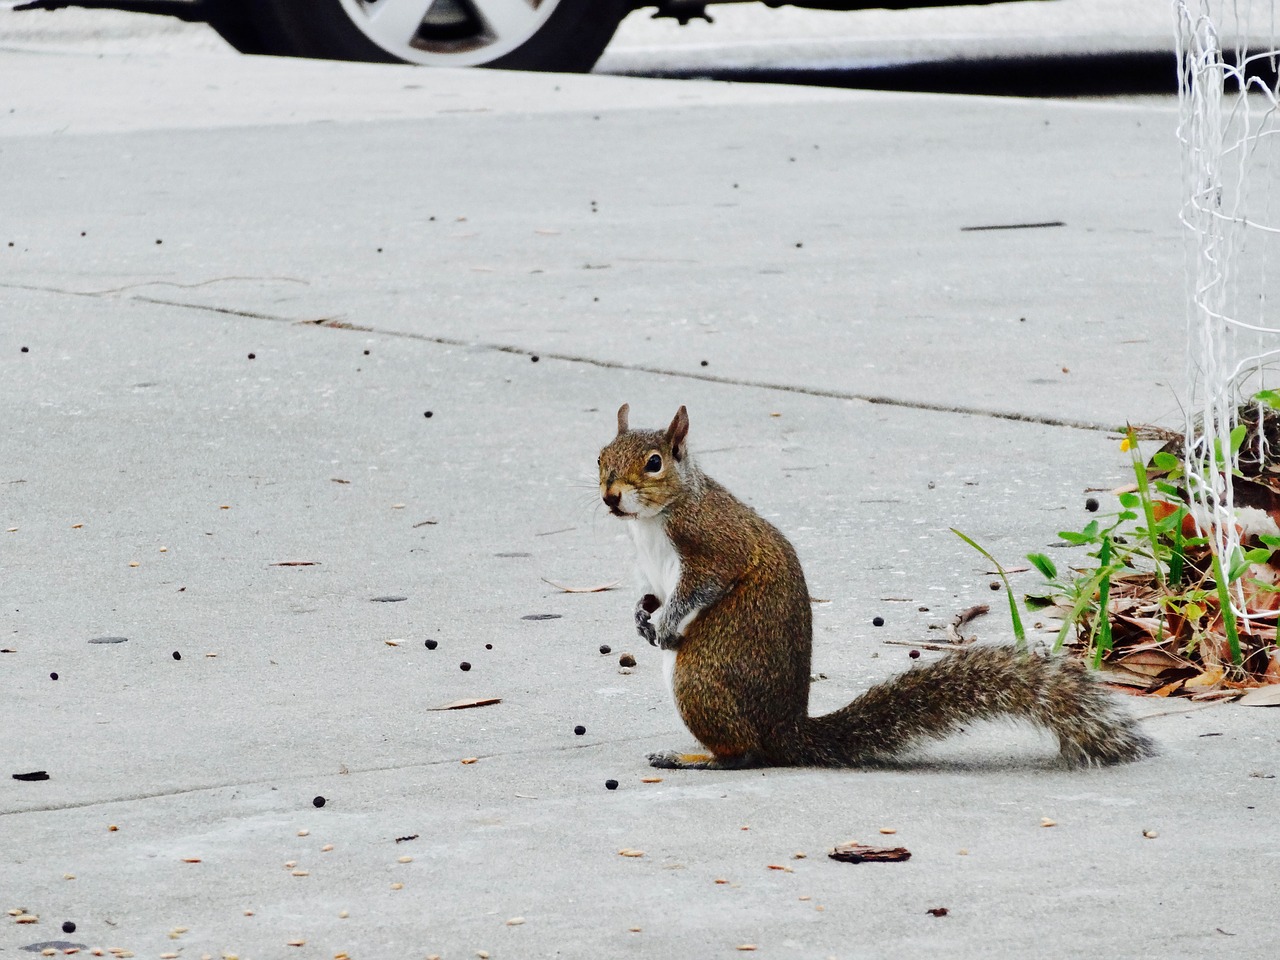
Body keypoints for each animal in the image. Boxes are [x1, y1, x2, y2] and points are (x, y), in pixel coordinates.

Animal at [593, 407, 1157, 773]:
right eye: (600, 457)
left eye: (653, 462)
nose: (610, 496)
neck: (655, 518)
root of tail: (787, 734)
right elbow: (650, 593)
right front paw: (642, 614)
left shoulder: (715, 539)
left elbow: (710, 580)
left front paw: (666, 623)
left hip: (701, 678)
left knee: (745, 756)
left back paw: (694, 757)